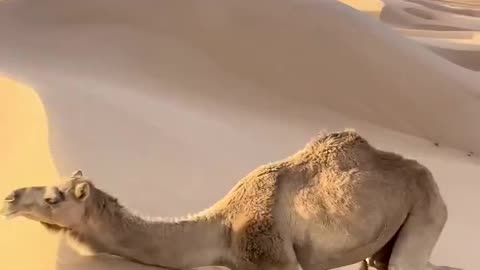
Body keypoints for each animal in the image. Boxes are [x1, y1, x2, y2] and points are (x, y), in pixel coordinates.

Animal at [1, 129, 464, 270]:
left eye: (53, 198)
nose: (9, 197)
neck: (223, 229)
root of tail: (428, 175)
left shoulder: (275, 258)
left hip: (427, 211)